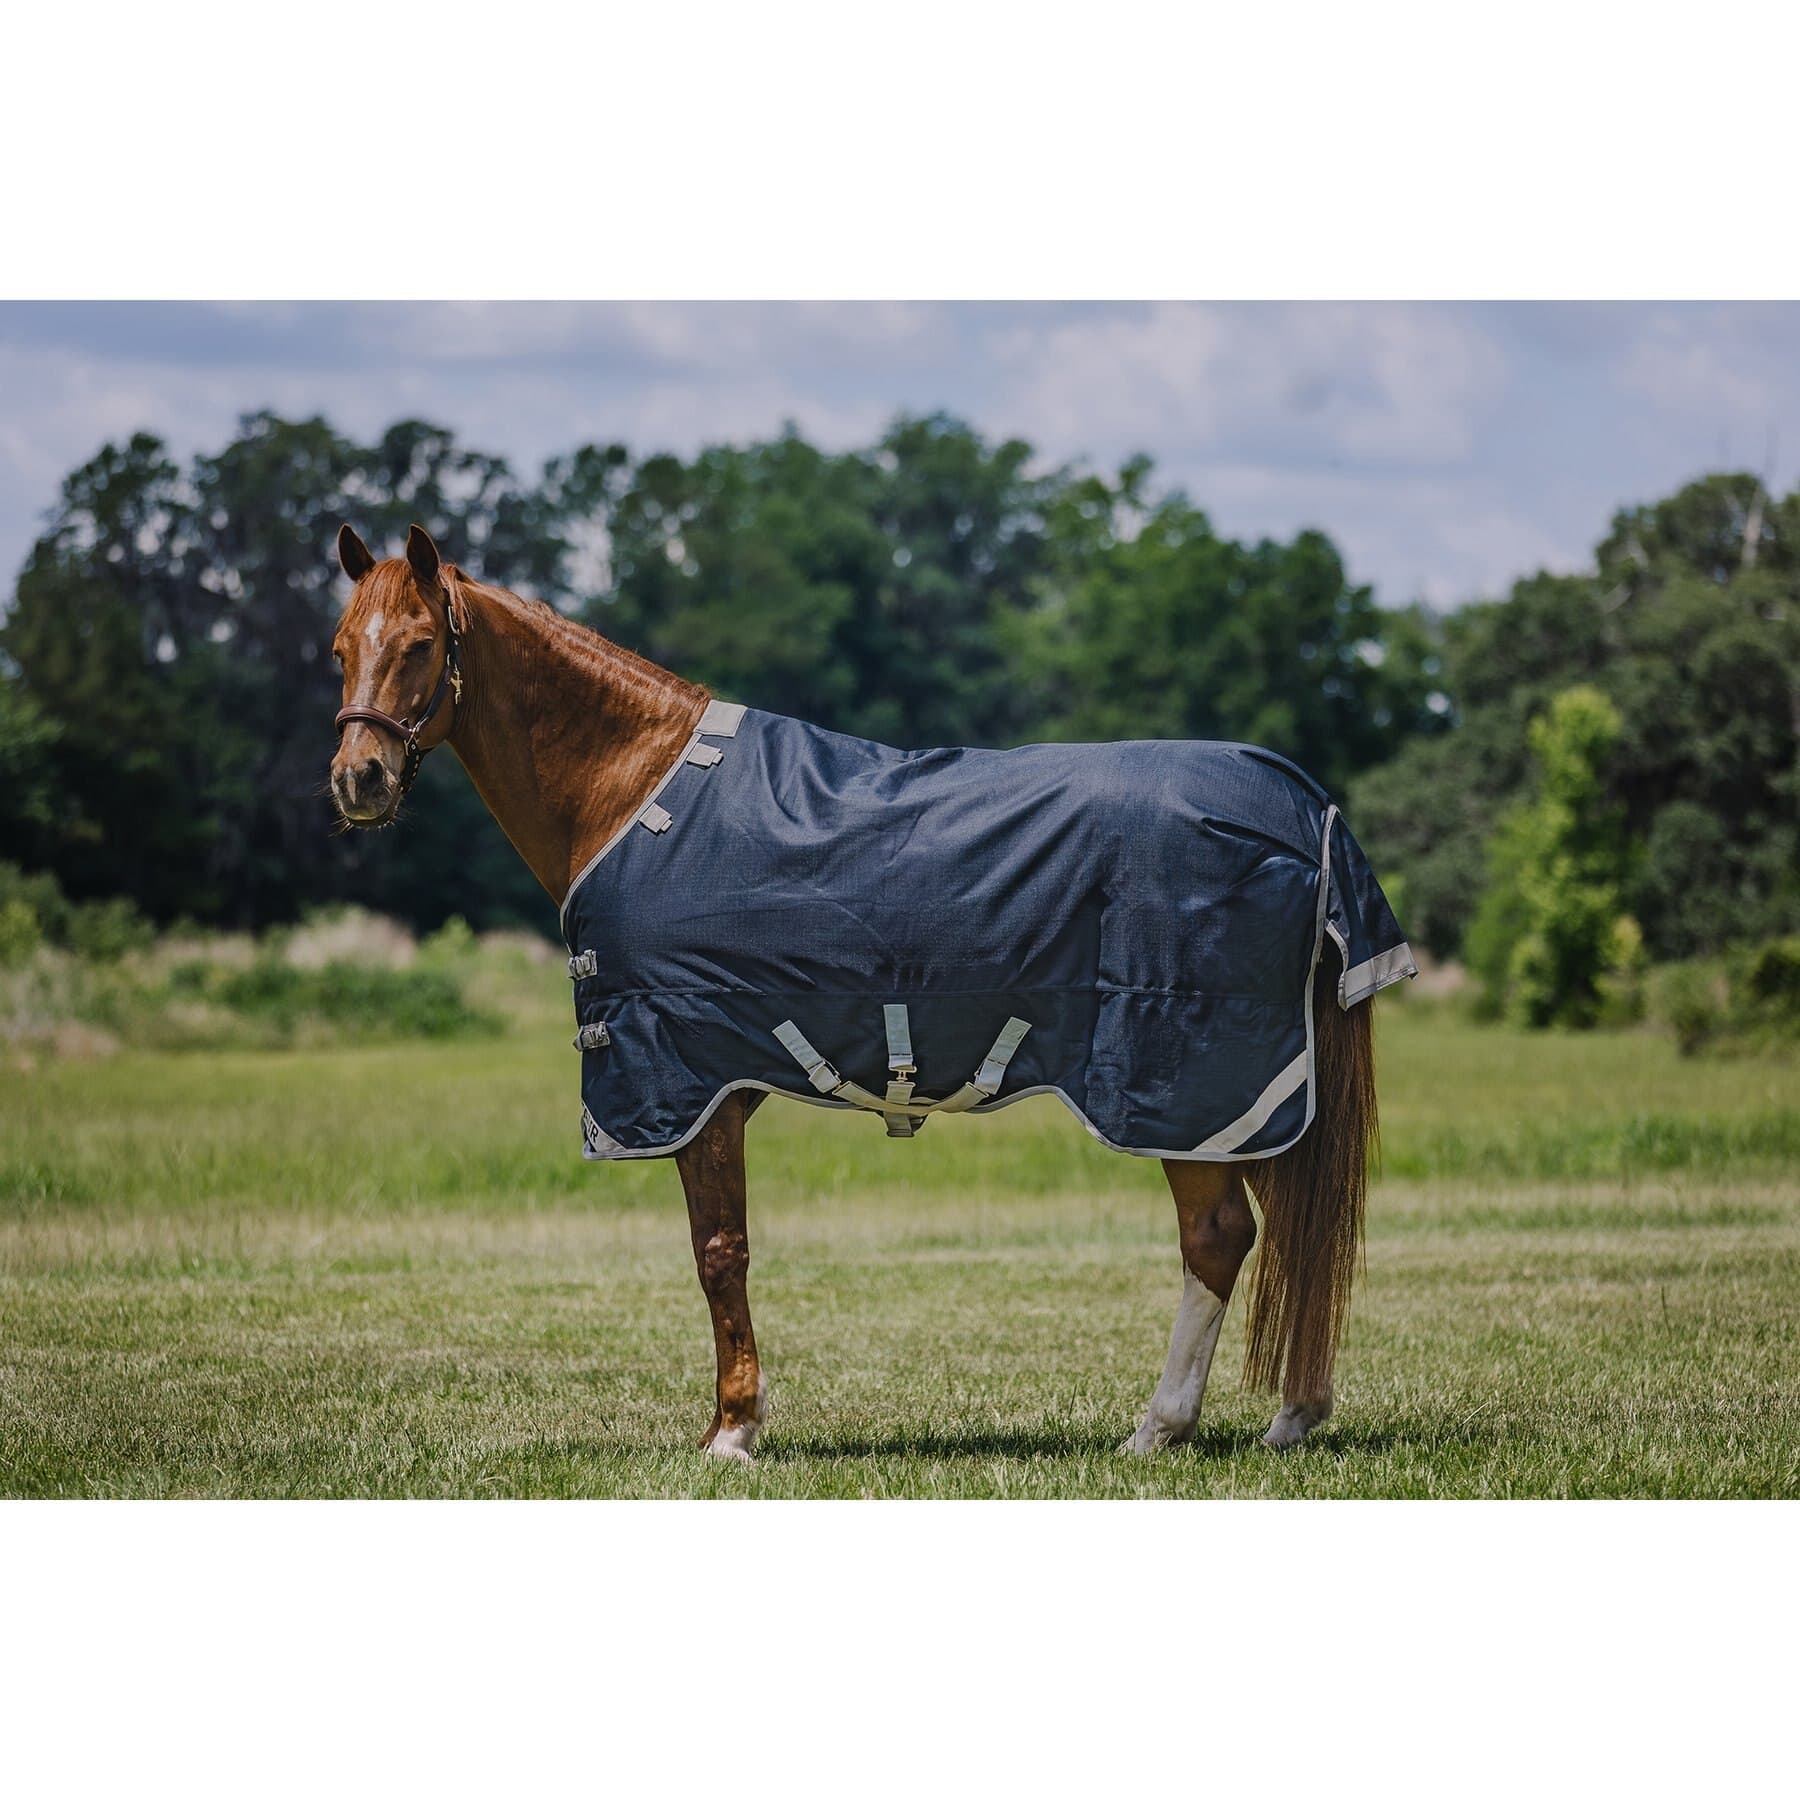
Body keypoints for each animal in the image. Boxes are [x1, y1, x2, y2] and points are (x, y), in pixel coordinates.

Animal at [328, 524, 1413, 1462]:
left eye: (420, 644)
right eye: (340, 648)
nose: (358, 780)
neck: (635, 788)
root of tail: (1301, 803)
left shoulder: (696, 1084)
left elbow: (719, 1251)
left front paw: (732, 1430)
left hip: (1185, 1086)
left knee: (1219, 1238)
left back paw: (1160, 1426)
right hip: (1247, 1096)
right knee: (1289, 1236)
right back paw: (1292, 1414)